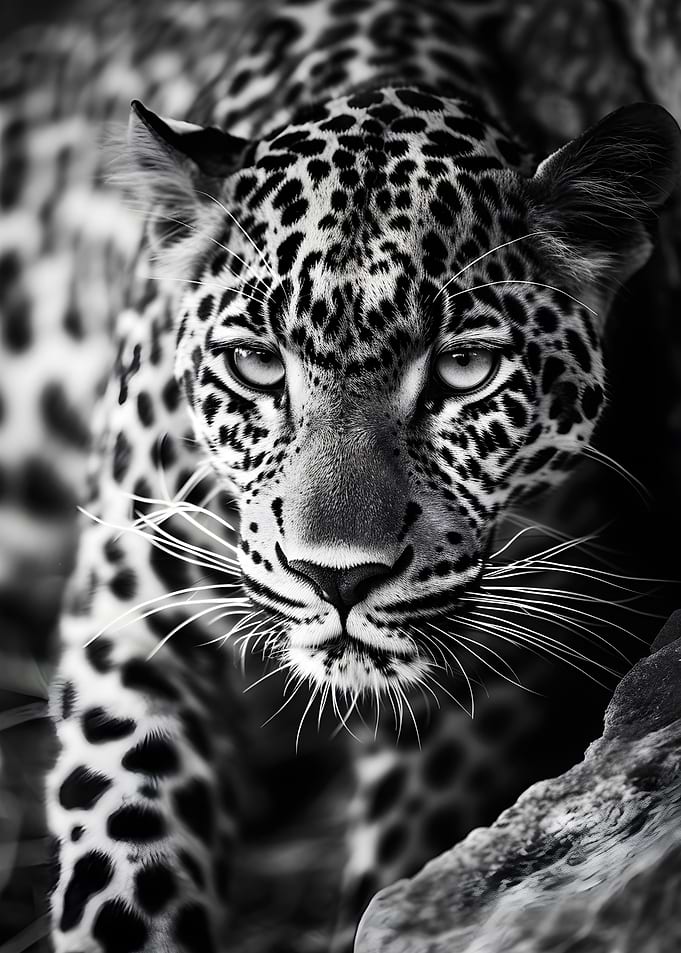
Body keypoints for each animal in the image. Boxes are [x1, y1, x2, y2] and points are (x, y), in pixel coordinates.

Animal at [1, 1, 680, 952]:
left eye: (465, 369)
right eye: (255, 363)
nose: (338, 578)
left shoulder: (499, 664)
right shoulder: (128, 619)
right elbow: (121, 845)